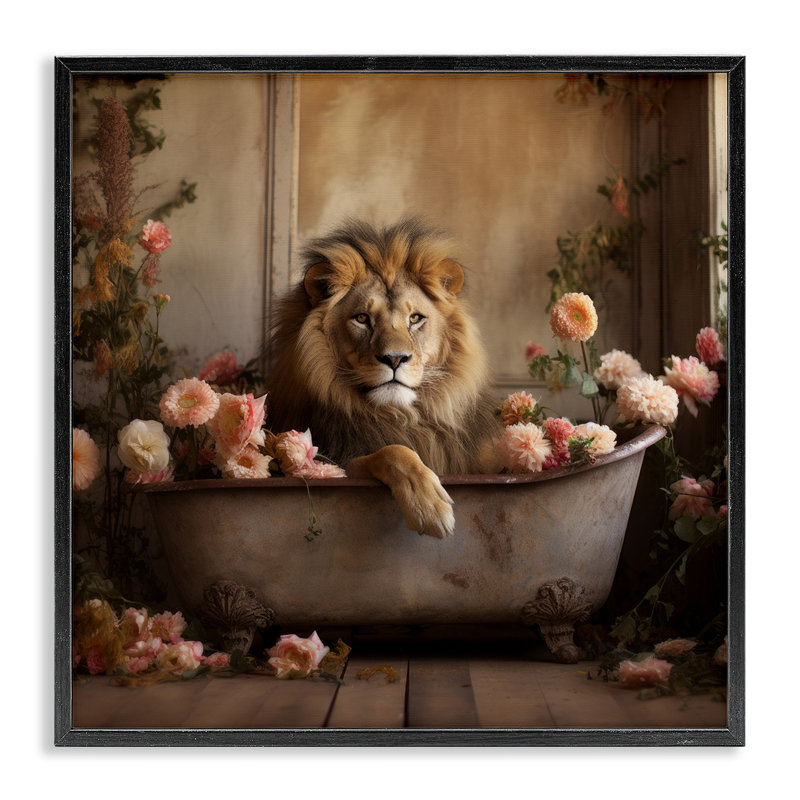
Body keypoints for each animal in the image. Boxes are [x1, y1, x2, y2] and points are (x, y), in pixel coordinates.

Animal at [266, 218, 500, 539]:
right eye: (362, 318)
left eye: (415, 319)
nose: (395, 359)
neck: (398, 415)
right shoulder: (334, 460)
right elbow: (393, 452)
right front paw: (429, 507)